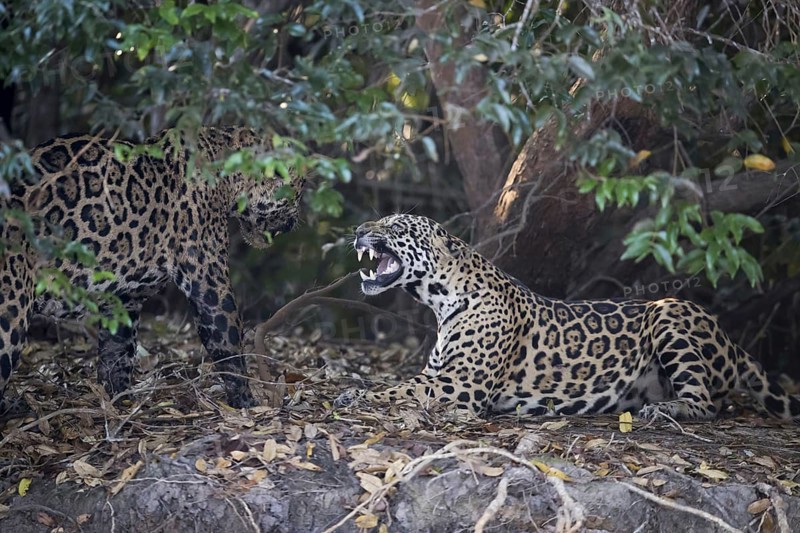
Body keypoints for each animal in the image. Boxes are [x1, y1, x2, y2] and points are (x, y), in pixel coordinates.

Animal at [0, 126, 303, 410]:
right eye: (298, 187)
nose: (294, 223)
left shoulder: (123, 298)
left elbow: (117, 351)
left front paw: (117, 400)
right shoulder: (207, 279)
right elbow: (227, 341)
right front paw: (246, 402)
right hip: (11, 306)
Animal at [338, 214, 800, 422]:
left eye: (395, 226)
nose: (359, 230)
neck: (441, 299)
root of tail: (734, 344)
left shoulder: (461, 386)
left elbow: (399, 389)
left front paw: (355, 396)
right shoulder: (441, 374)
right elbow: (399, 382)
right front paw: (351, 386)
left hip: (671, 310)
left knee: (706, 404)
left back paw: (667, 410)